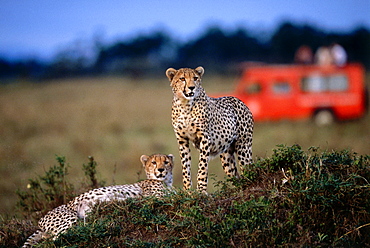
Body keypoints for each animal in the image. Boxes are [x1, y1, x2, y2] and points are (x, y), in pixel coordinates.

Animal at [22, 154, 174, 247]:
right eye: (153, 163)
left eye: (166, 162)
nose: (161, 170)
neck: (166, 181)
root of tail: (41, 221)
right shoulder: (156, 197)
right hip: (69, 220)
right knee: (57, 239)